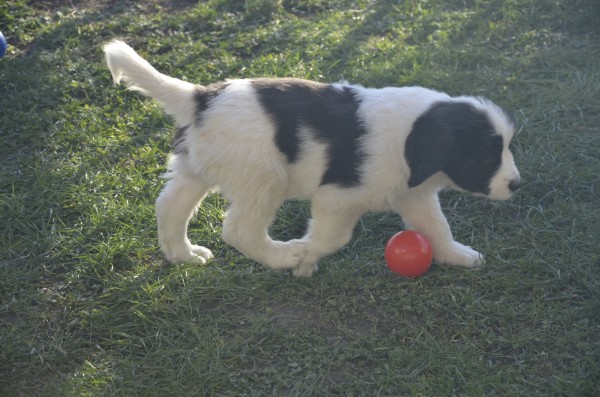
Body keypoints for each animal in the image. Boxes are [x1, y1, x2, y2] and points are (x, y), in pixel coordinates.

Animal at [104, 40, 520, 276]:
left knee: (169, 206)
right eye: (487, 155)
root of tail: (201, 96)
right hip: (264, 177)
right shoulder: (337, 199)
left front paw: (457, 256)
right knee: (239, 230)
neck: (409, 136)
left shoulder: (414, 195)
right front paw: (306, 261)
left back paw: (184, 255)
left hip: (196, 168)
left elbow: (437, 228)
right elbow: (333, 237)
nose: (516, 184)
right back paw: (282, 256)